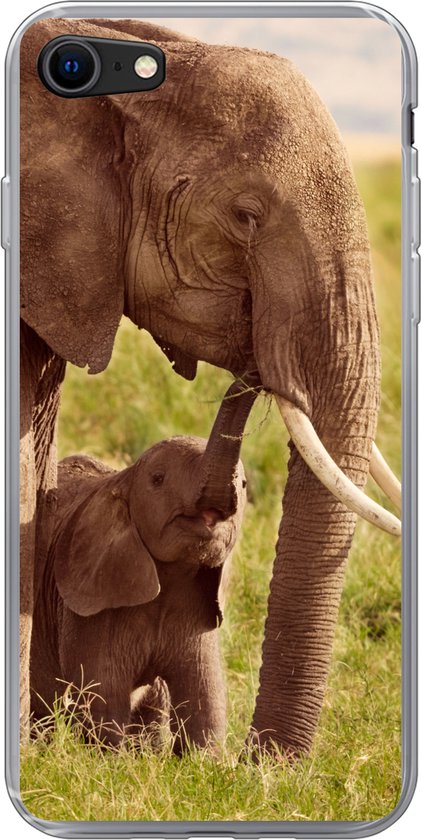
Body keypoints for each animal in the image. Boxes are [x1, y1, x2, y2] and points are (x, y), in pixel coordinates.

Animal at [30, 377, 258, 750]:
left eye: (243, 484)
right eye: (158, 479)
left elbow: (205, 700)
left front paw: (204, 760)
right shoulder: (89, 607)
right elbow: (103, 696)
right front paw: (111, 757)